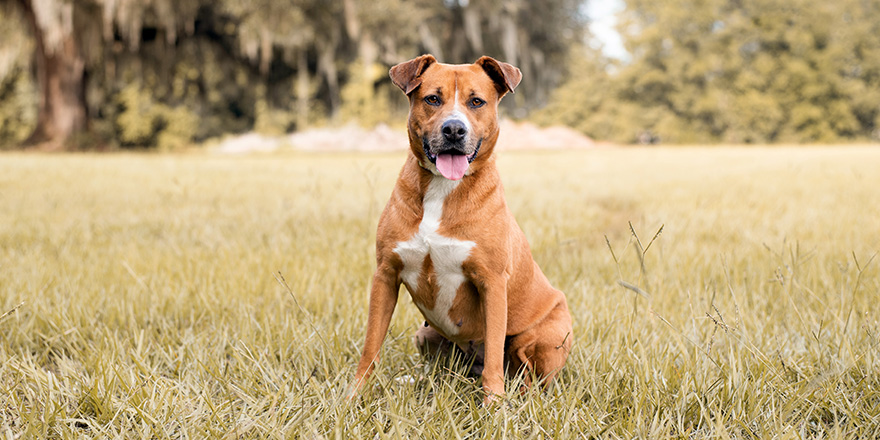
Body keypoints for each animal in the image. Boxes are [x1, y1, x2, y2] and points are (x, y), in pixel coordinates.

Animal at [354, 54, 576, 402]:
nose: (454, 129)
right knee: (441, 373)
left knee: (527, 378)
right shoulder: (385, 275)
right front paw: (353, 396)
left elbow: (494, 360)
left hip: (541, 338)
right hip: (425, 334)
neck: (442, 188)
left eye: (476, 101)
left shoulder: (492, 282)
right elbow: (370, 346)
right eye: (432, 98)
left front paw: (494, 406)